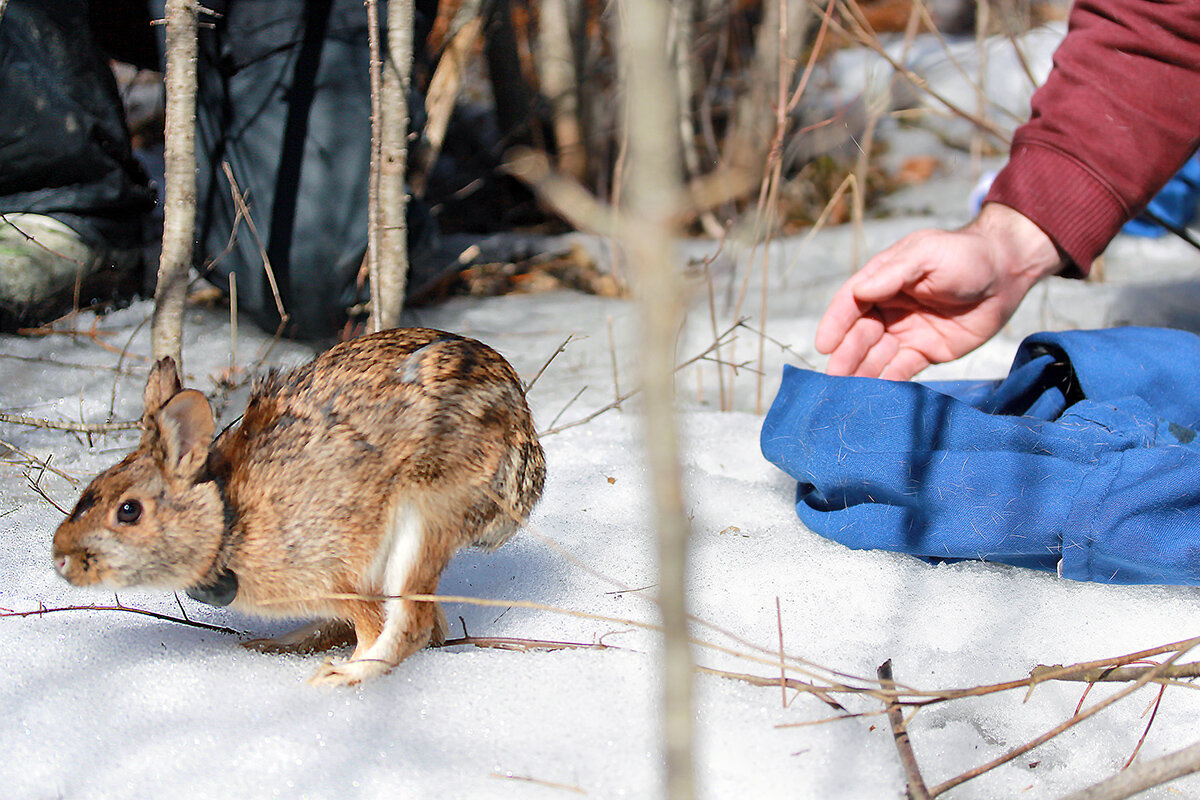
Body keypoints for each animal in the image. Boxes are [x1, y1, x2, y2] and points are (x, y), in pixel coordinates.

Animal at [51, 328, 547, 686]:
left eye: (128, 510)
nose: (61, 560)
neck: (226, 519)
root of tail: (524, 438)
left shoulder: (340, 577)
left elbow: (373, 626)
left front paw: (346, 670)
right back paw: (274, 643)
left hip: (424, 516)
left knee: (413, 624)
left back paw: (342, 675)